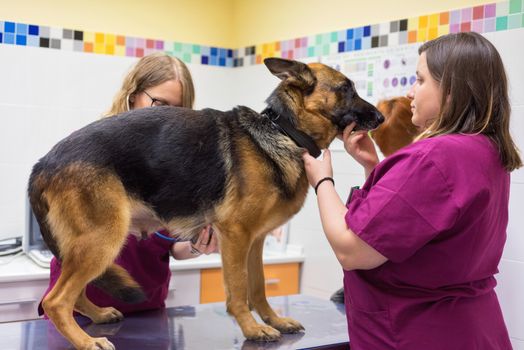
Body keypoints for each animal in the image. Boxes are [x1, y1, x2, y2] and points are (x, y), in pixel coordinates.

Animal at [27, 58, 380, 348]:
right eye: (346, 88)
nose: (380, 116)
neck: (285, 131)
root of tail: (43, 163)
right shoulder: (236, 235)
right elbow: (238, 289)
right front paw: (252, 329)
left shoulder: (255, 241)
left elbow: (258, 287)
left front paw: (274, 320)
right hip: (103, 239)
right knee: (57, 300)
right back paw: (87, 341)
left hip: (92, 245)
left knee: (72, 292)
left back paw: (98, 316)